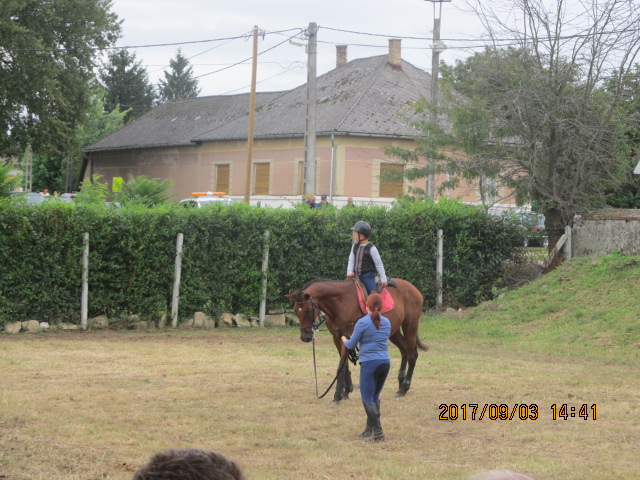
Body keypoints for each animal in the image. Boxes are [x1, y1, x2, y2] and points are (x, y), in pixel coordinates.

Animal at [288, 278, 428, 404]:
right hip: (393, 331)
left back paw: (404, 387)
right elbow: (344, 365)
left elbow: (341, 366)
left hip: (410, 327)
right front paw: (346, 391)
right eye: (295, 310)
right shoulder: (337, 338)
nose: (305, 337)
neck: (340, 302)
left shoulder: (348, 336)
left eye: (308, 310)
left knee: (412, 355)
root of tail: (413, 288)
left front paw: (337, 396)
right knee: (404, 351)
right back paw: (400, 384)